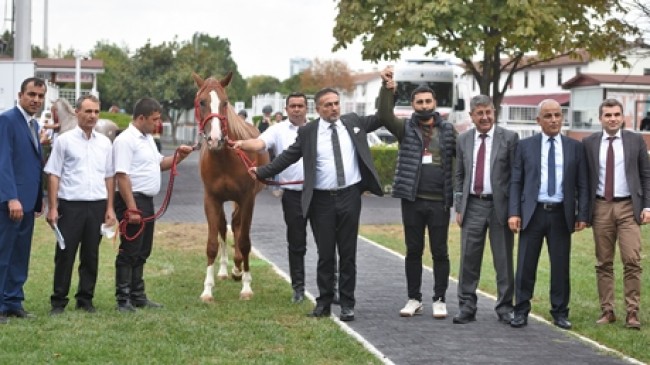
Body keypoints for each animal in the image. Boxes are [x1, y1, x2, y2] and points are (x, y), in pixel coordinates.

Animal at [190, 72, 268, 302]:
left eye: (225, 102)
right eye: (201, 102)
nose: (215, 139)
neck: (224, 158)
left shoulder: (247, 198)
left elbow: (244, 241)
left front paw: (246, 286)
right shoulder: (211, 199)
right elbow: (212, 243)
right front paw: (207, 290)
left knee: (236, 224)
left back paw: (237, 268)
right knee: (225, 226)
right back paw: (226, 269)